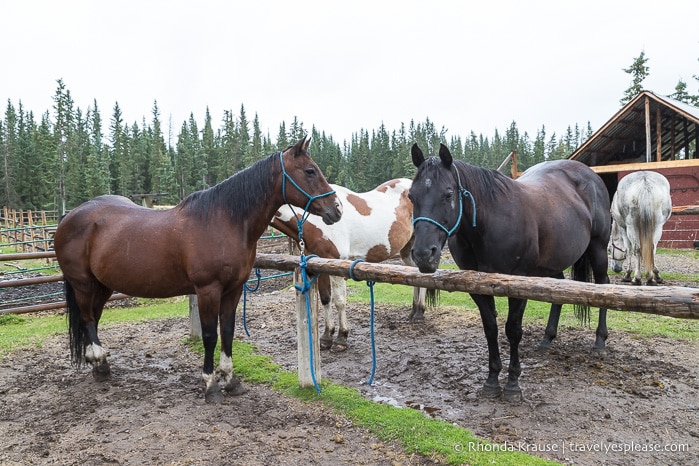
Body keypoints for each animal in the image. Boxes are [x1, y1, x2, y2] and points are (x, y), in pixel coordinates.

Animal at [53, 137, 344, 402]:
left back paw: (98, 363)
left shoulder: (233, 289)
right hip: (83, 284)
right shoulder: (208, 290)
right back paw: (100, 362)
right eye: (310, 171)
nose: (337, 209)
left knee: (93, 318)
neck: (224, 221)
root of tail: (70, 216)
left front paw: (230, 380)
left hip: (102, 285)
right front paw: (210, 384)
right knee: (88, 318)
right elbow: (209, 335)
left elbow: (228, 331)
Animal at [272, 180, 432, 352]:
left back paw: (419, 314)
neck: (316, 222)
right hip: (407, 251)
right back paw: (415, 311)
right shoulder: (318, 267)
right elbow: (325, 299)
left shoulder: (336, 266)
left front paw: (341, 338)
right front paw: (326, 336)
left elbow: (339, 301)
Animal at [408, 143, 608, 400]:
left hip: (598, 249)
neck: (489, 222)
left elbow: (513, 330)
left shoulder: (518, 284)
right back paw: (547, 338)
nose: (424, 254)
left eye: (448, 194)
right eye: (411, 196)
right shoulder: (477, 287)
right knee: (557, 295)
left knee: (603, 285)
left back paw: (600, 341)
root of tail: (590, 175)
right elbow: (490, 328)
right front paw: (492, 379)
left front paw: (513, 383)